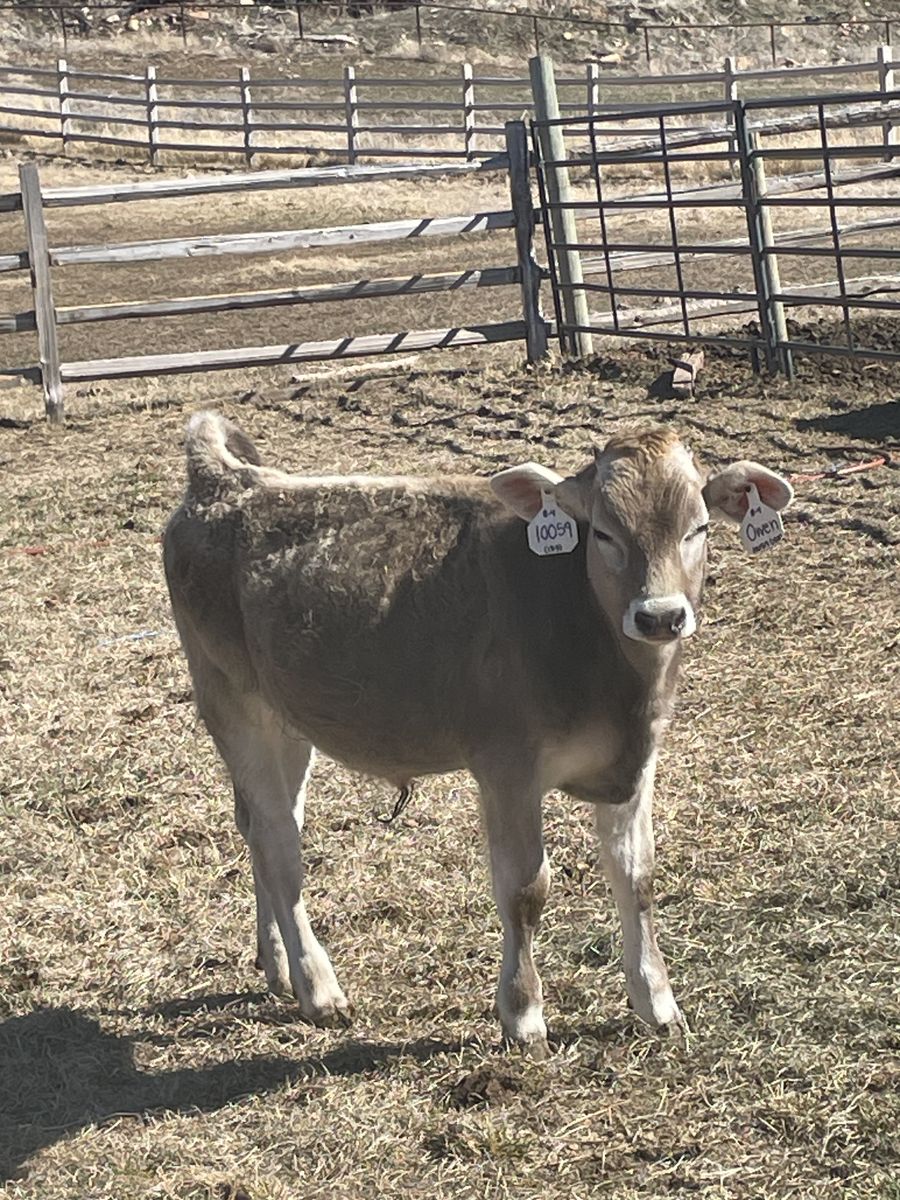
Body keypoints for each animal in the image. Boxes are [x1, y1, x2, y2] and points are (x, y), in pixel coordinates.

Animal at [163, 411, 793, 1059]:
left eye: (698, 528)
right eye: (603, 533)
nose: (660, 616)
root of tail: (227, 480)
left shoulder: (636, 764)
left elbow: (637, 876)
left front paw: (657, 1003)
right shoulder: (506, 766)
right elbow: (525, 889)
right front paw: (523, 1014)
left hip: (289, 718)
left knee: (261, 824)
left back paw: (278, 966)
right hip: (231, 700)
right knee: (277, 842)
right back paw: (318, 988)